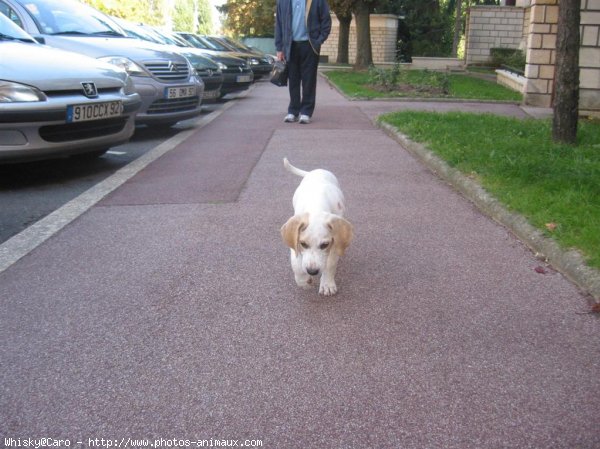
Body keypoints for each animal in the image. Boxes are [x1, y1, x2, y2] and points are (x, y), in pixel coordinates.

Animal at [280, 156, 354, 296]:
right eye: (303, 244)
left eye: (324, 245)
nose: (312, 272)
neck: (316, 205)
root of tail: (315, 171)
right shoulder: (294, 239)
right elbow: (296, 263)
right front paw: (303, 280)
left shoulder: (334, 243)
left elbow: (330, 264)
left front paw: (327, 284)